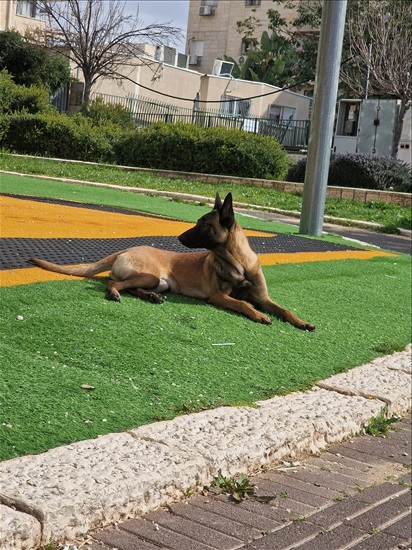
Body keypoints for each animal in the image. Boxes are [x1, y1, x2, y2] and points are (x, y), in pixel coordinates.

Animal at [29, 194, 316, 332]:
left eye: (203, 224)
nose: (178, 237)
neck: (238, 264)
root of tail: (126, 248)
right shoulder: (218, 297)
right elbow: (243, 303)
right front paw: (258, 315)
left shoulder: (264, 297)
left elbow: (283, 309)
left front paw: (302, 322)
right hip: (151, 276)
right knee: (113, 282)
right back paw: (114, 294)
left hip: (160, 283)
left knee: (132, 287)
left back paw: (151, 298)